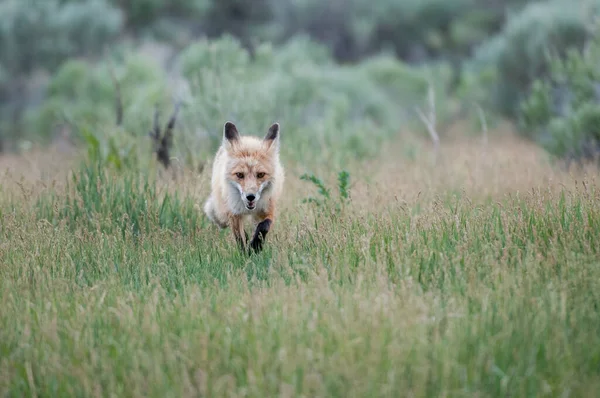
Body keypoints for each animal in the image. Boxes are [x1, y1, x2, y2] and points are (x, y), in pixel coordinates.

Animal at [203, 120, 284, 255]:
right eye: (240, 175)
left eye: (260, 174)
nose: (250, 197)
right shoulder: (234, 214)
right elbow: (240, 239)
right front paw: (245, 255)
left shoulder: (267, 209)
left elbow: (264, 227)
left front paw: (255, 246)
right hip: (222, 210)